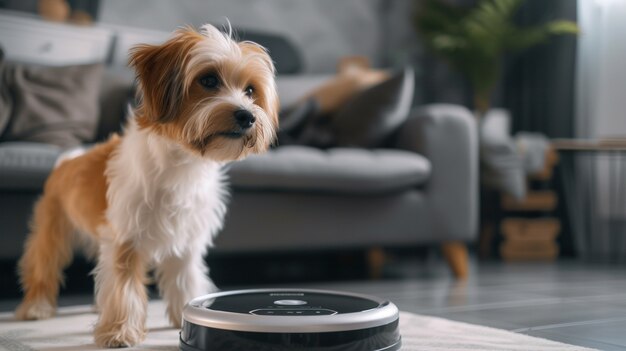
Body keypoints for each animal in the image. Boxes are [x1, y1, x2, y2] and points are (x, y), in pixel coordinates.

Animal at [14, 24, 278, 350]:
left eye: (250, 90)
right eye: (208, 80)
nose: (247, 115)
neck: (182, 164)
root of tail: (67, 161)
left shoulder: (186, 242)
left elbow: (184, 281)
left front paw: (183, 317)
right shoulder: (125, 239)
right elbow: (124, 288)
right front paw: (119, 333)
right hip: (53, 231)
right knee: (43, 267)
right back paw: (36, 308)